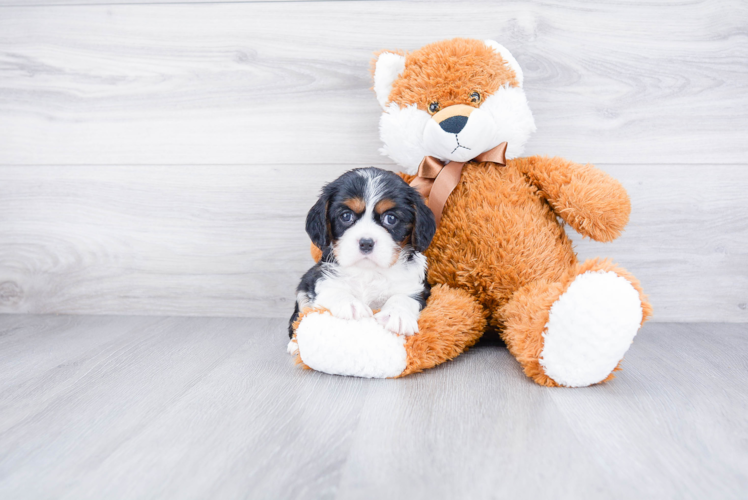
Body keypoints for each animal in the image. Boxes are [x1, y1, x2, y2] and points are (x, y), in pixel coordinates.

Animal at [288, 169, 438, 340]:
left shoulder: (416, 286)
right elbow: (333, 288)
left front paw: (396, 314)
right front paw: (351, 304)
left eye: (391, 218)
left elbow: (404, 297)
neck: (368, 272)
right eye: (346, 216)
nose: (366, 243)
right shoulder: (322, 275)